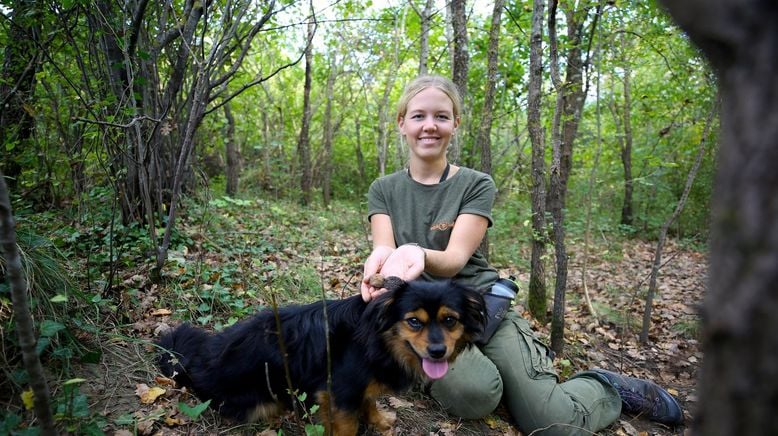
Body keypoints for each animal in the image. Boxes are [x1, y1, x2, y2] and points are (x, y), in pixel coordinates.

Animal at [158, 278, 484, 434]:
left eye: (450, 320)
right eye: (414, 321)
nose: (438, 351)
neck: (378, 339)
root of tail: (201, 365)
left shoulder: (356, 388)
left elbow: (369, 401)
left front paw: (379, 421)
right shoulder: (338, 392)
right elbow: (347, 426)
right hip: (261, 400)